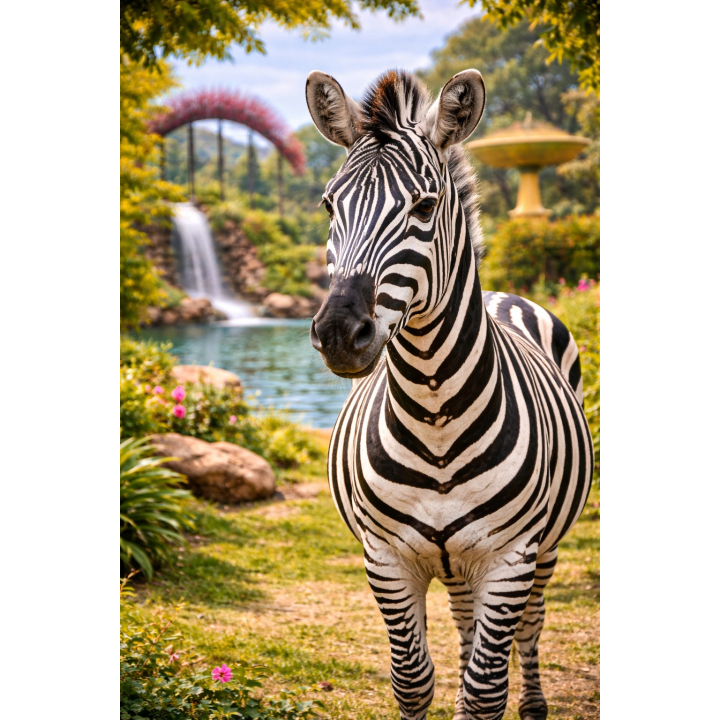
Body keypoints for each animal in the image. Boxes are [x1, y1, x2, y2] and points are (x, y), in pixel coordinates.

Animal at [305, 68, 594, 720]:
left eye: (425, 205)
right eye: (330, 204)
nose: (338, 333)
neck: (434, 411)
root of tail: (505, 296)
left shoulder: (510, 559)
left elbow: (485, 692)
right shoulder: (386, 558)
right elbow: (414, 680)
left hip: (542, 550)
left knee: (530, 627)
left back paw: (533, 703)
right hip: (457, 563)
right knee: (465, 627)